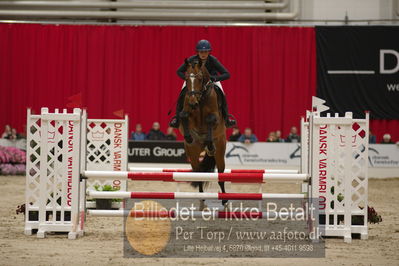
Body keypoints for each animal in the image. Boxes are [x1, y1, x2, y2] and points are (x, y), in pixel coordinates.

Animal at [179, 59, 228, 206]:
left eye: (200, 78)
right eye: (186, 78)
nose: (192, 102)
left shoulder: (215, 118)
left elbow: (210, 120)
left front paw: (210, 144)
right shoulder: (188, 112)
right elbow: (183, 115)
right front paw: (189, 137)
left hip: (220, 151)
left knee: (221, 174)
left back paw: (224, 200)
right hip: (193, 154)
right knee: (199, 174)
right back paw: (201, 198)